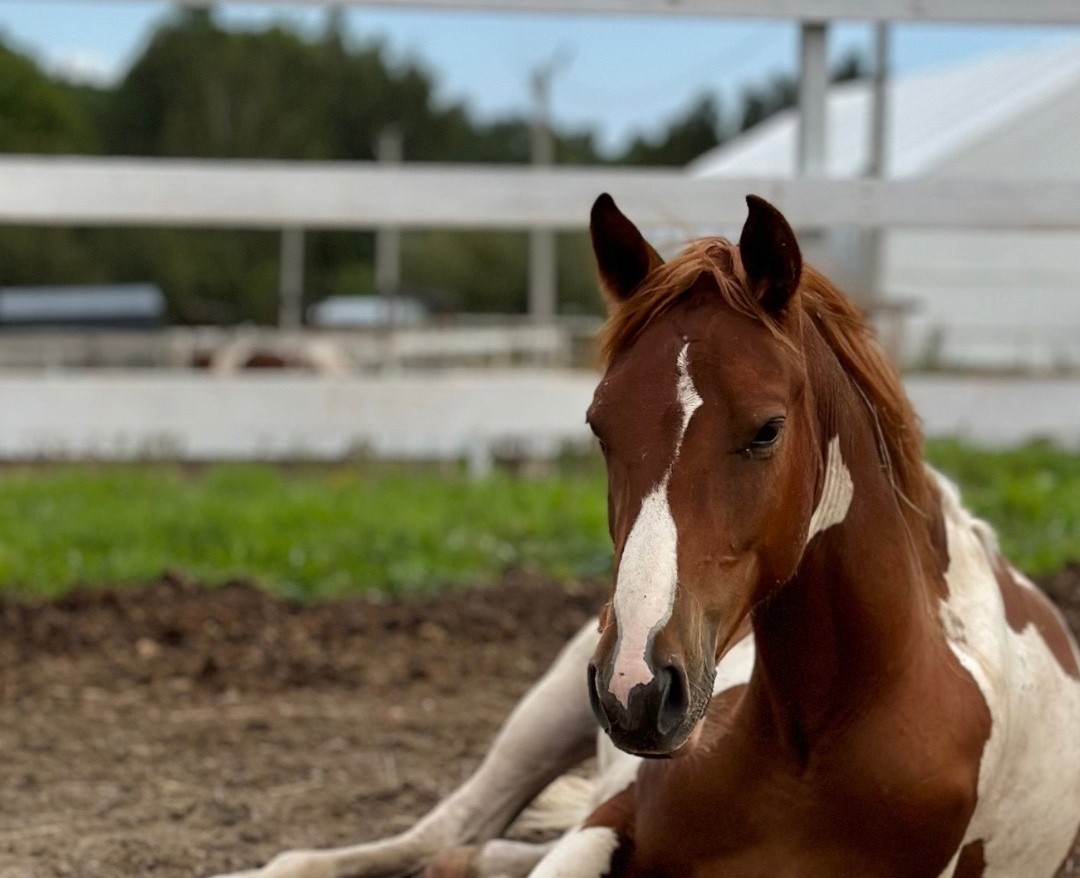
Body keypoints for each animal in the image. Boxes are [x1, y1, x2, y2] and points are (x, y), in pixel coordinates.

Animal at [214, 193, 1080, 876]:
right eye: (600, 425)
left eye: (767, 430)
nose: (635, 687)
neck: (822, 738)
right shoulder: (607, 822)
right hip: (551, 708)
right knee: (432, 832)